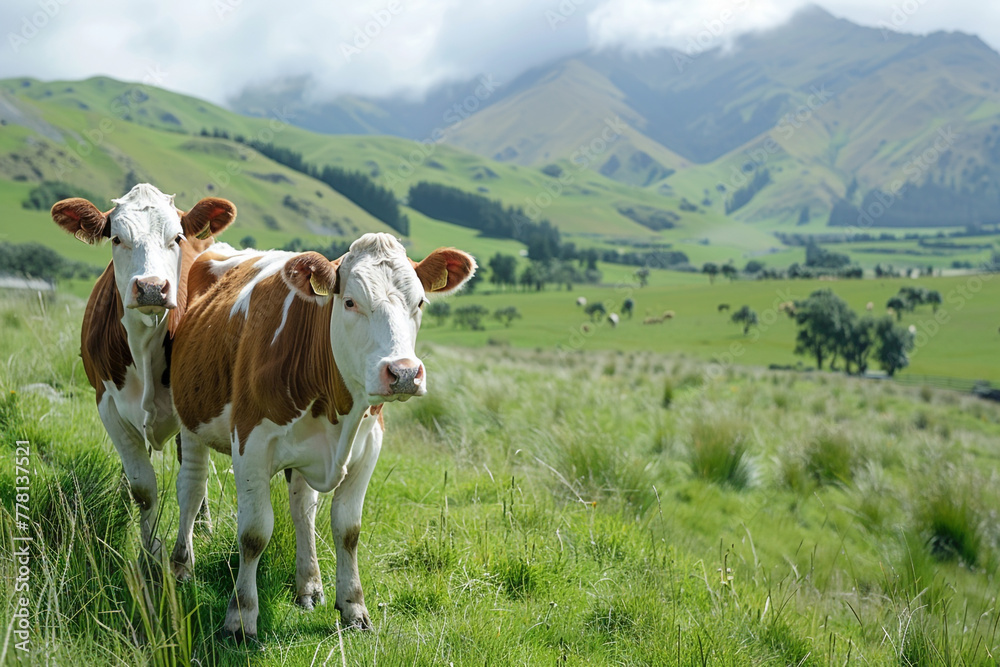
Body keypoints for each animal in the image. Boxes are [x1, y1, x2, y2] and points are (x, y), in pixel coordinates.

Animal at [50, 185, 234, 556]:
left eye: (177, 237)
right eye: (117, 238)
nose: (151, 287)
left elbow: (192, 484)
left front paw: (184, 550)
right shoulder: (108, 405)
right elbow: (144, 487)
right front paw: (149, 552)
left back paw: (204, 525)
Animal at [171, 232, 476, 640]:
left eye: (420, 302)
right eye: (349, 302)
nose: (404, 373)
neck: (338, 410)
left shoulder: (369, 447)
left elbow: (347, 529)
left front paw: (353, 607)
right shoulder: (251, 444)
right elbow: (254, 533)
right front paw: (240, 618)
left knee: (303, 508)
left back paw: (309, 585)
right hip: (189, 419)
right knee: (191, 491)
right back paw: (181, 569)